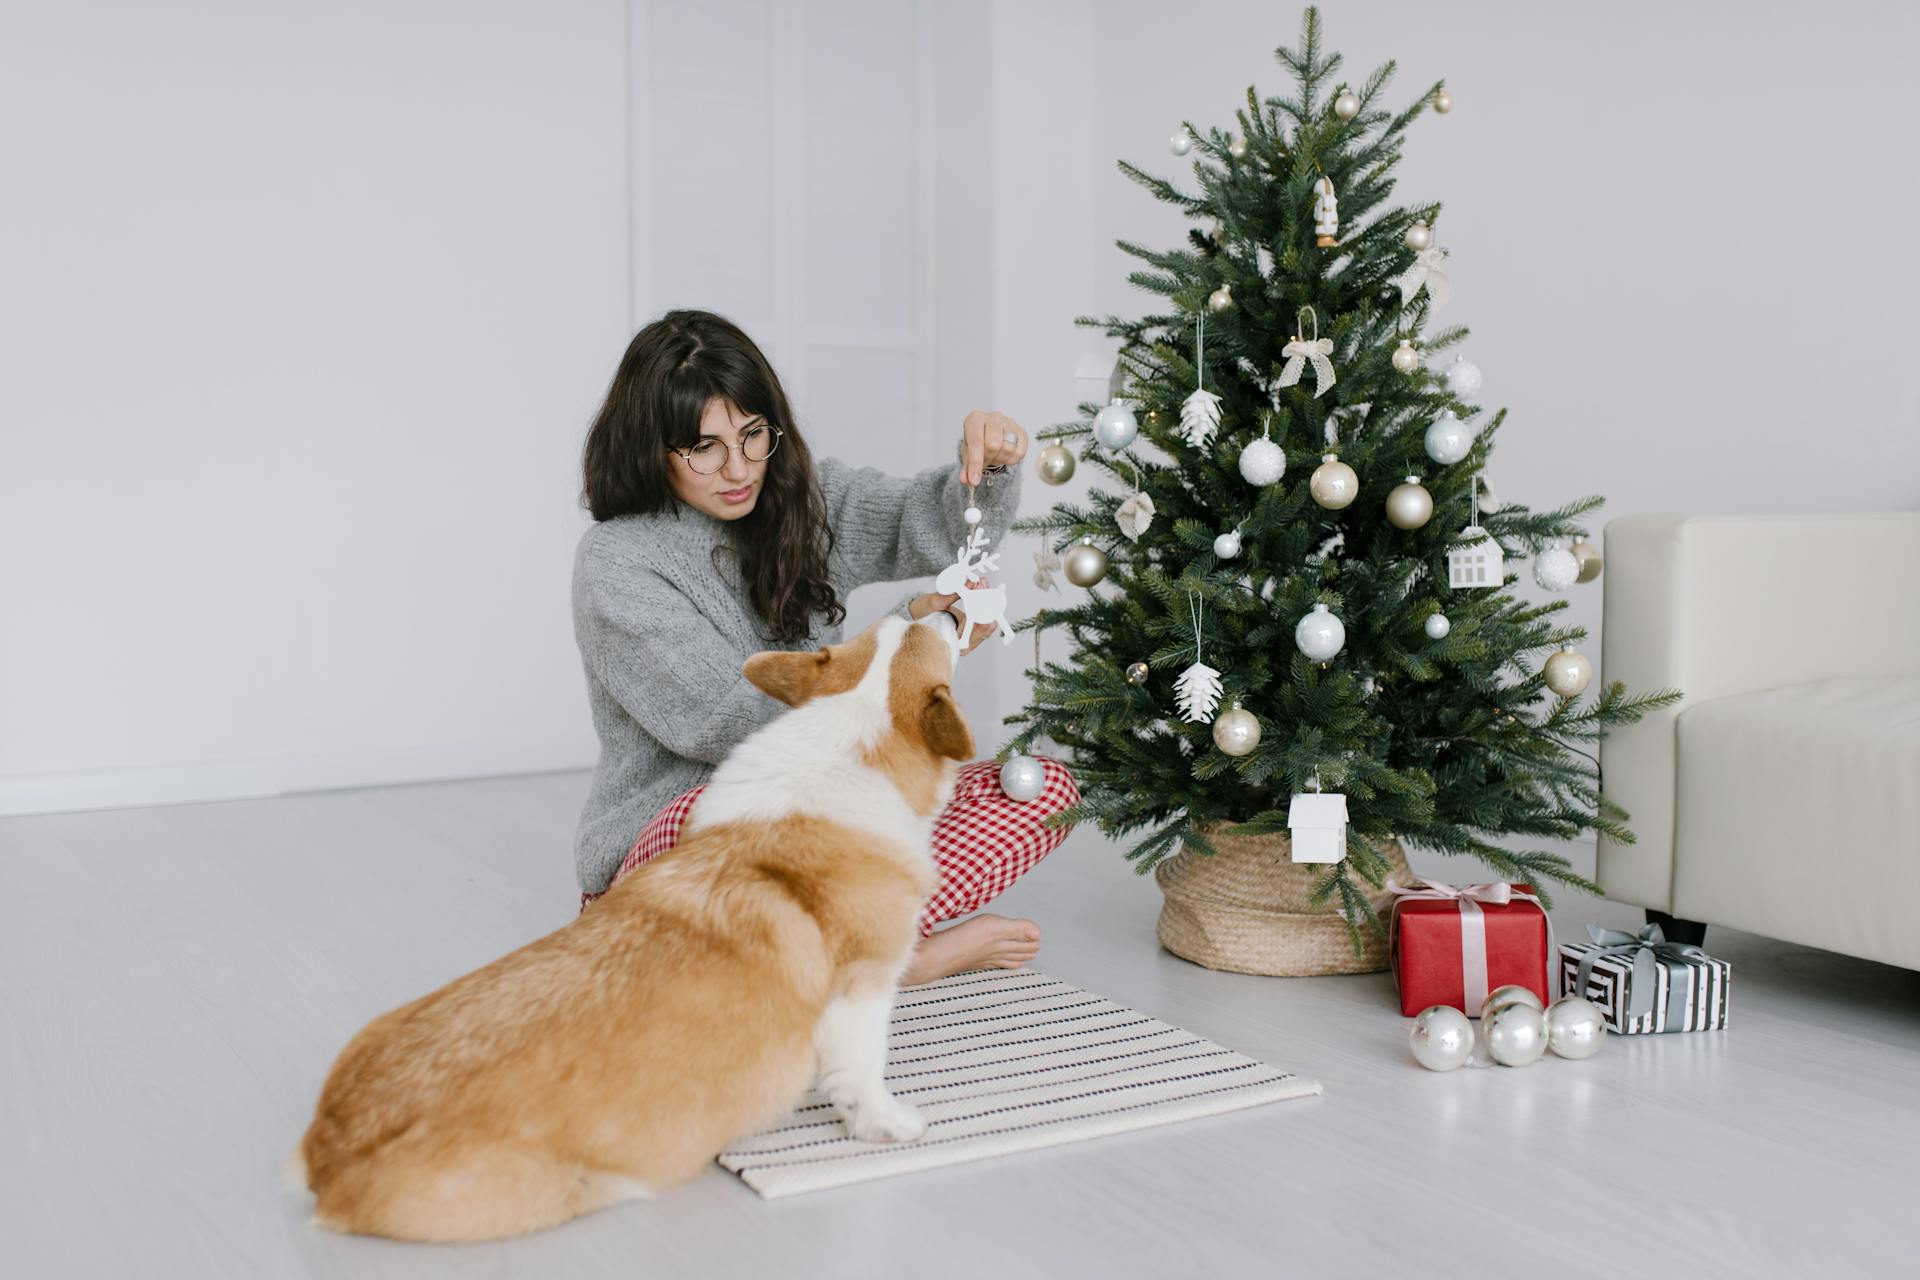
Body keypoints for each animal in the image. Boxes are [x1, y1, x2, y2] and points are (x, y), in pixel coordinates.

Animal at [286, 614, 967, 1243]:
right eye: (923, 632)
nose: (946, 610)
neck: (847, 735)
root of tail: (328, 1159)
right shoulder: (864, 986)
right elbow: (864, 1070)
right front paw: (890, 1125)